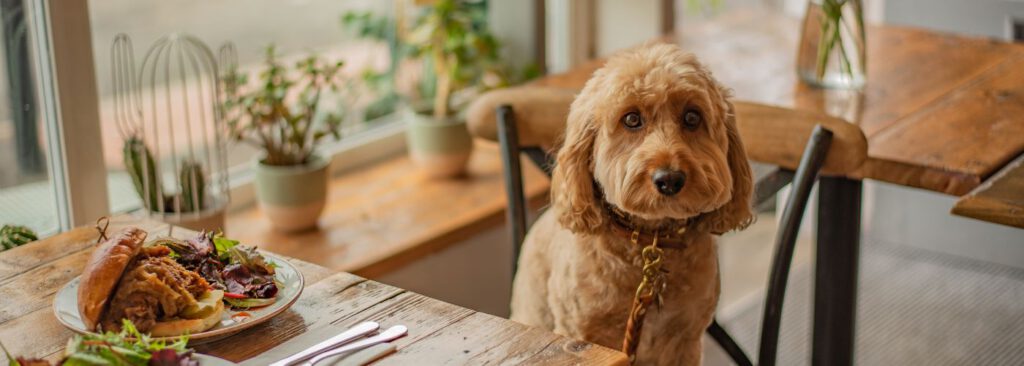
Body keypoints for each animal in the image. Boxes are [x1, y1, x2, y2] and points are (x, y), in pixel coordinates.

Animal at [509, 43, 753, 364]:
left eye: (692, 117)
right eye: (631, 119)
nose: (670, 179)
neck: (651, 244)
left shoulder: (685, 338)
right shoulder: (583, 332)